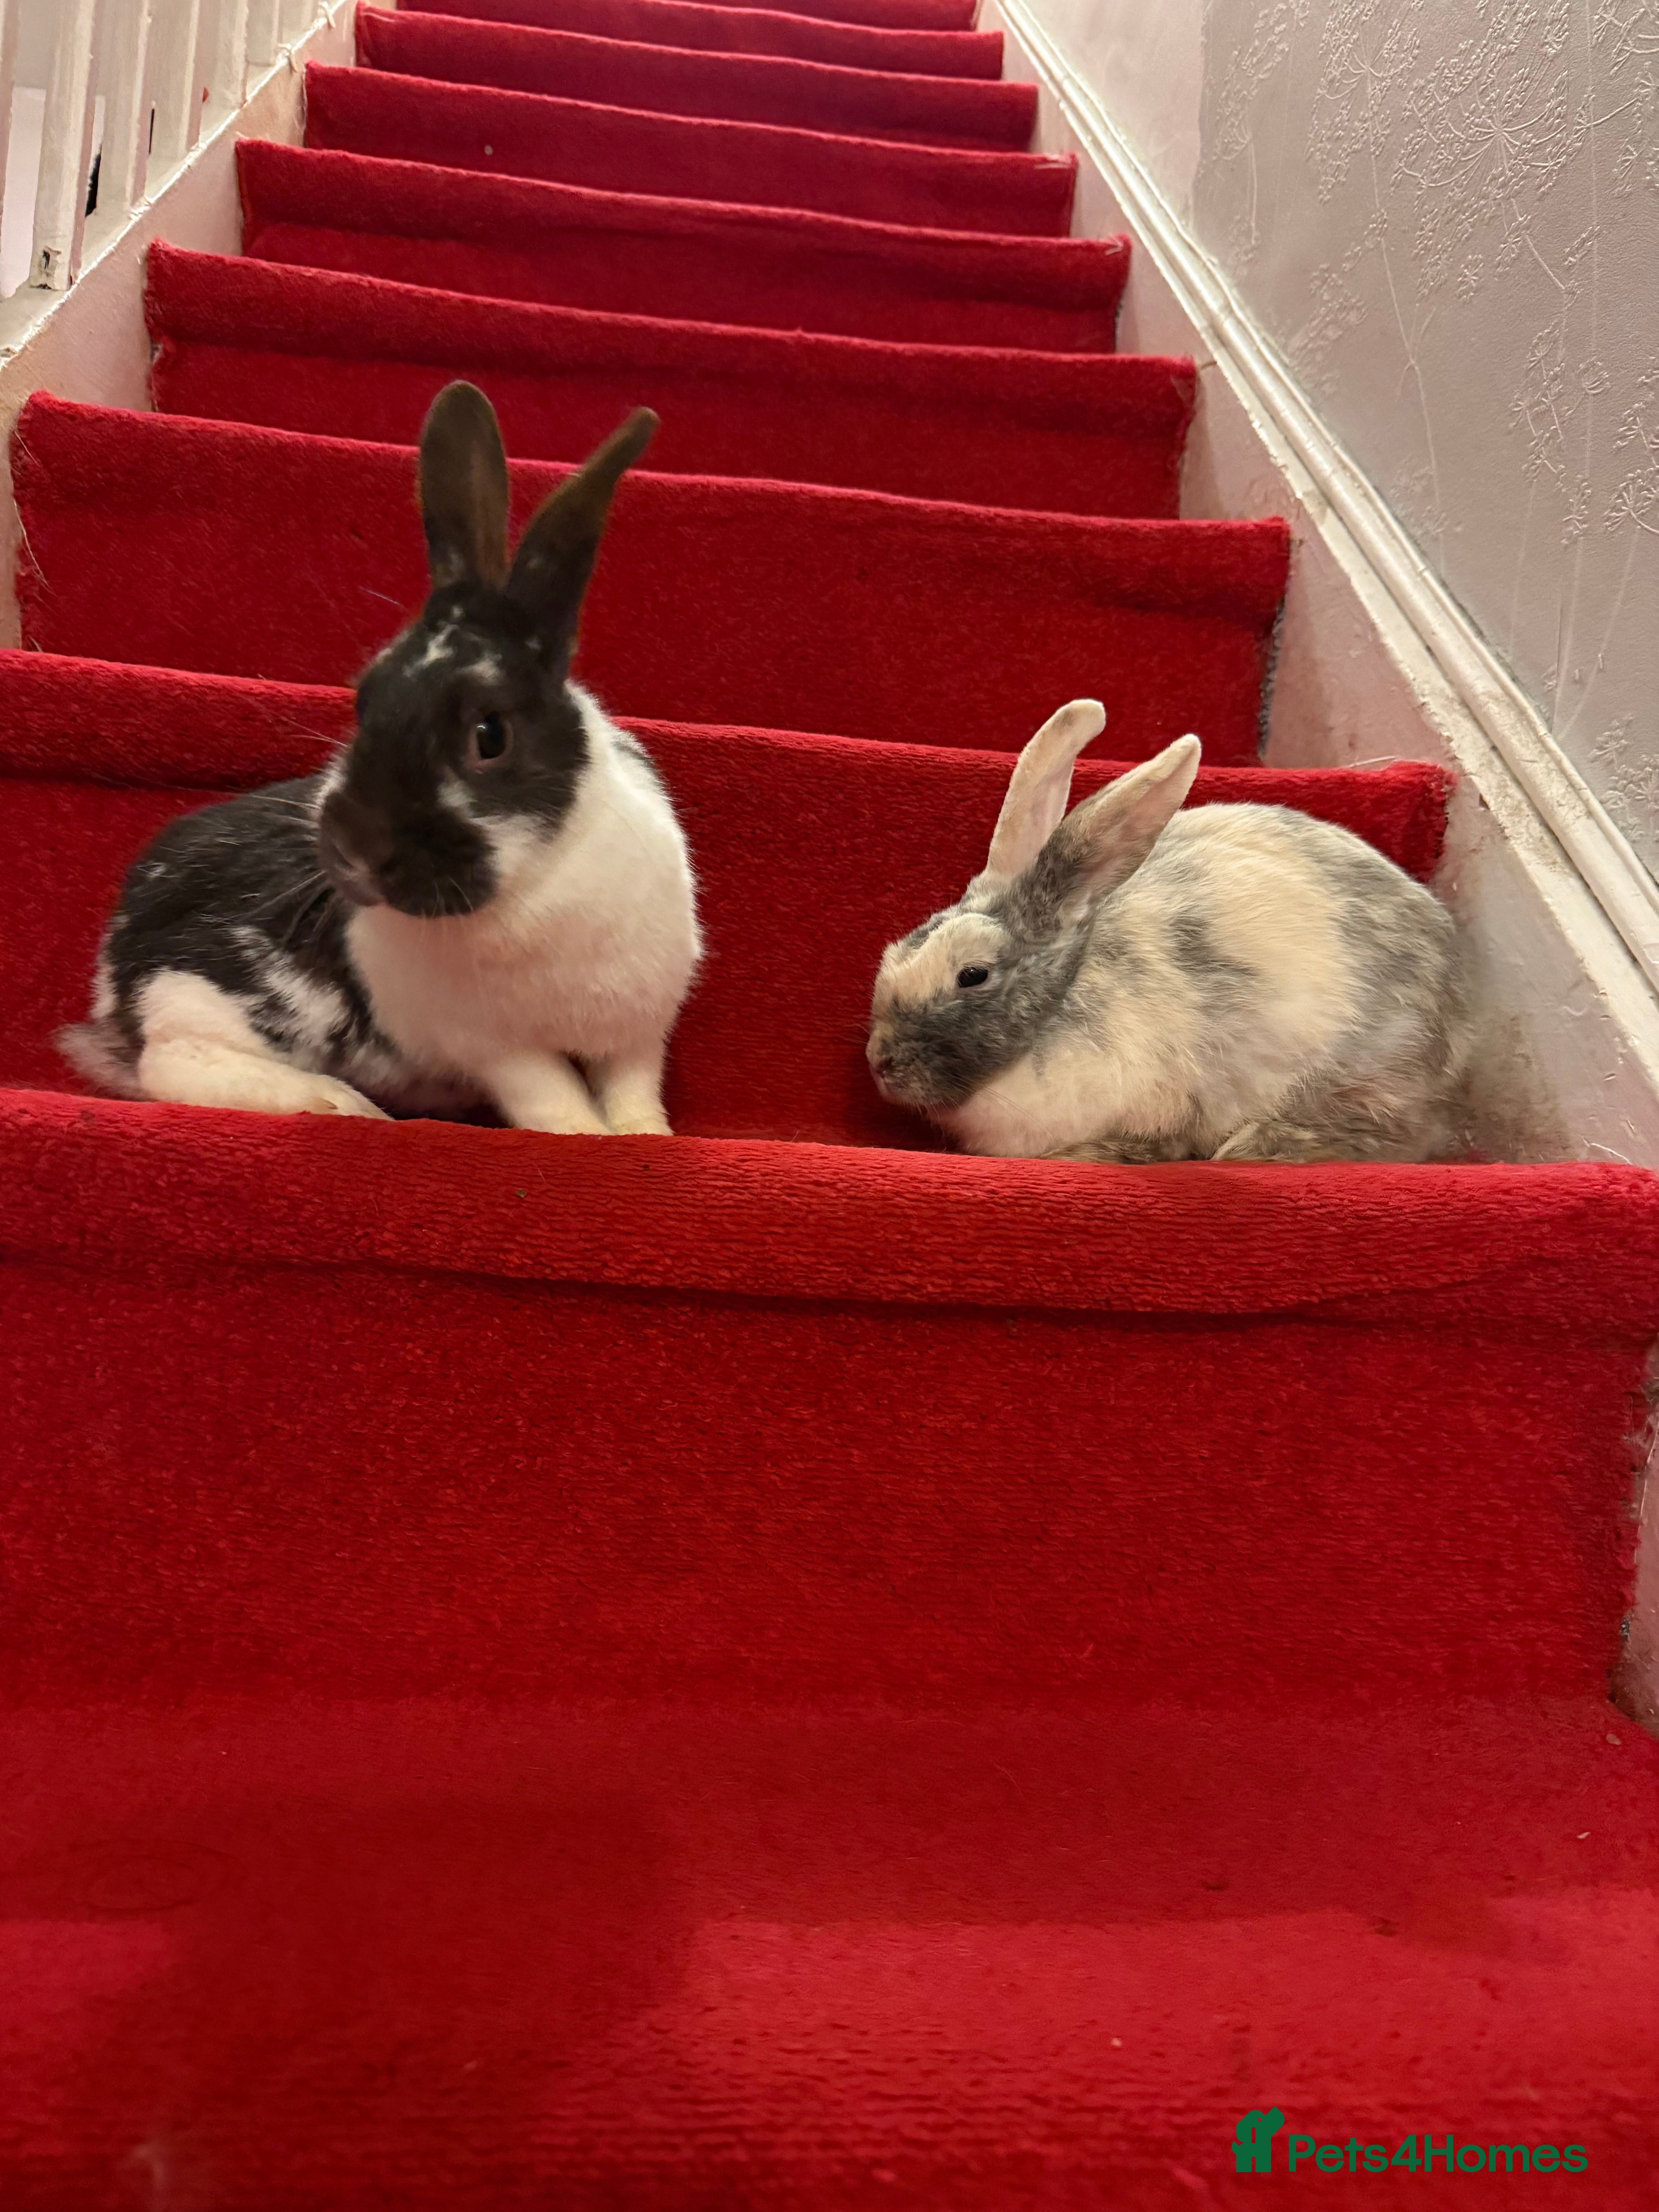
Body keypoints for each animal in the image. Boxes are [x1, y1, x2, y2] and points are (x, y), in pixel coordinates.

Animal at [60, 381, 700, 1138]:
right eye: (365, 697)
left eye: (490, 734)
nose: (355, 847)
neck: (537, 878)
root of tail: (114, 963)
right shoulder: (497, 1049)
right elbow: (552, 1099)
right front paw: (585, 1139)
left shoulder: (637, 1027)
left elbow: (633, 1089)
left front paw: (646, 1138)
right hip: (196, 999)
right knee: (172, 1063)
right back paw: (336, 1102)